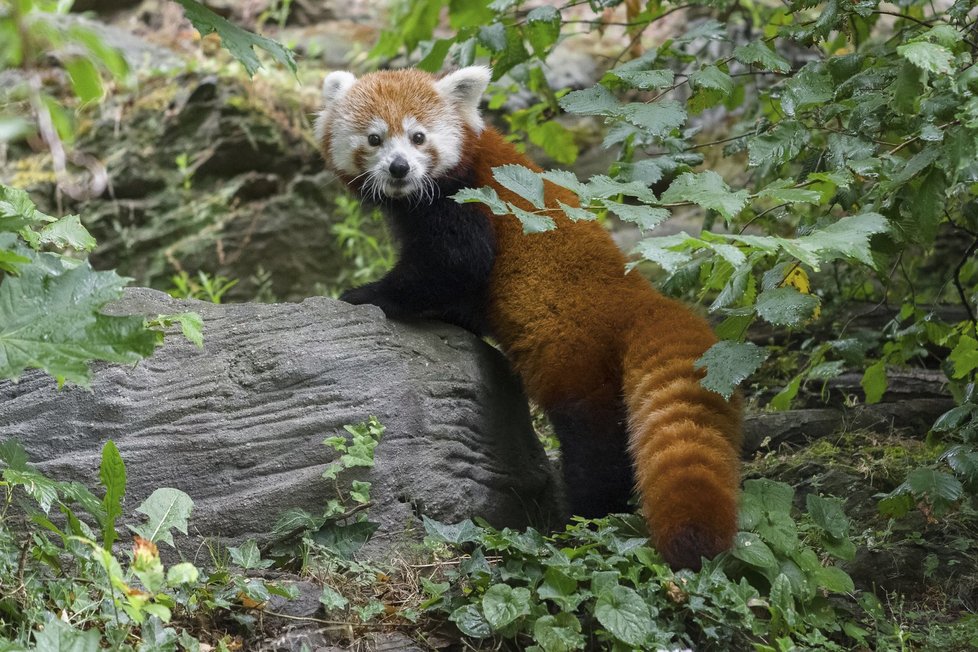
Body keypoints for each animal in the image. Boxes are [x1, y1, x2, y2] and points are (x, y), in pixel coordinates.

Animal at [314, 66, 740, 572]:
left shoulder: (465, 202)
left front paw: (363, 295)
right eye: (375, 139)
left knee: (595, 449)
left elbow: (455, 265)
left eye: (418, 137)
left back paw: (585, 523)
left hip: (579, 357)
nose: (400, 168)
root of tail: (639, 299)